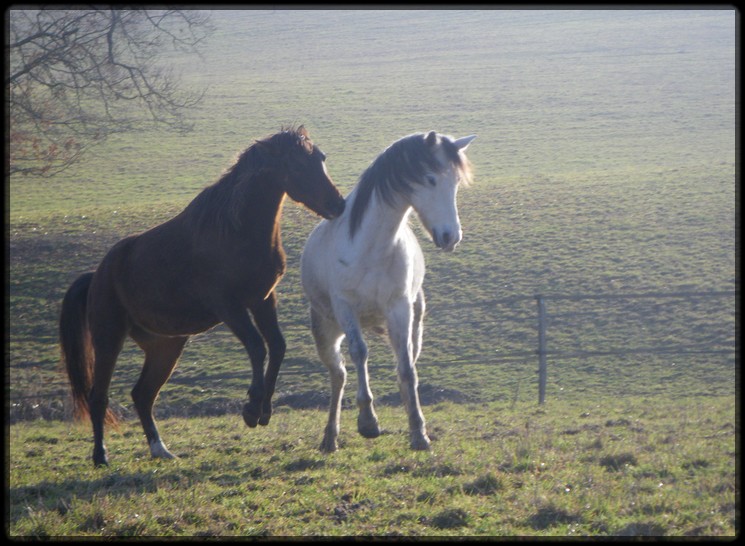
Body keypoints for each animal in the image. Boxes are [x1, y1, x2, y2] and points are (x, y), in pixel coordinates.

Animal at [58, 126, 346, 464]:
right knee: (99, 396)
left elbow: (277, 346)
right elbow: (257, 347)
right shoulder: (229, 306)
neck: (236, 231)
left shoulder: (262, 300)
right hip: (108, 338)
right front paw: (251, 409)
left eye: (321, 158)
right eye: (298, 165)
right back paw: (100, 456)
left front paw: (264, 411)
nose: (338, 204)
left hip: (166, 345)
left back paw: (160, 450)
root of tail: (97, 276)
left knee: (142, 395)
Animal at [300, 130, 474, 448]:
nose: (451, 236)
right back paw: (330, 437)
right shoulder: (346, 307)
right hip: (326, 331)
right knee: (338, 374)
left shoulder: (399, 308)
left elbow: (406, 367)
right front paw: (368, 421)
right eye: (431, 179)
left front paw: (418, 431)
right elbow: (360, 353)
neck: (372, 246)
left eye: (455, 181)